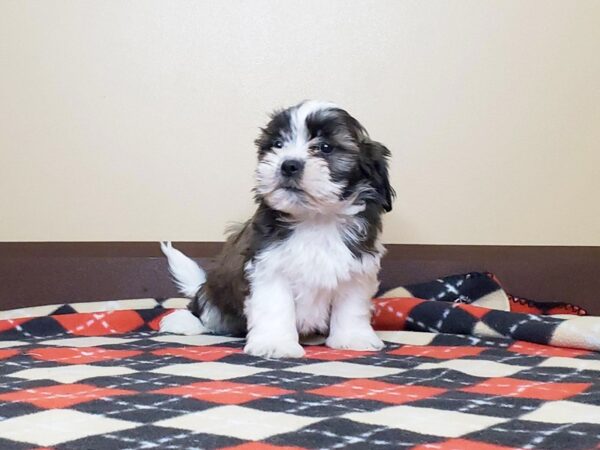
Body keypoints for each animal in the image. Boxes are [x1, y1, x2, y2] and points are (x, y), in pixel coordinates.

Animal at [159, 100, 394, 356]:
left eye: (325, 148)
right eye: (278, 145)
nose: (289, 164)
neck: (315, 219)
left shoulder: (357, 268)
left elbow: (352, 306)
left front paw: (353, 337)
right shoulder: (268, 266)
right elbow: (275, 306)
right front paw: (275, 344)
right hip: (216, 290)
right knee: (206, 307)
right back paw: (184, 321)